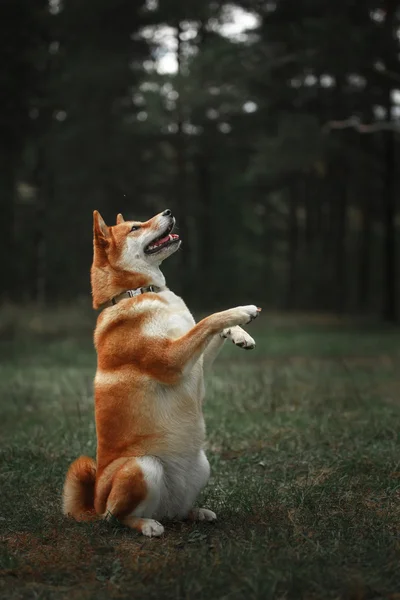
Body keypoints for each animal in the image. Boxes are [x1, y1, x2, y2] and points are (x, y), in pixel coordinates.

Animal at [62, 209, 260, 536]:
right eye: (135, 228)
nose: (168, 212)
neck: (138, 292)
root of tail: (95, 506)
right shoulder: (171, 361)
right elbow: (208, 319)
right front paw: (242, 311)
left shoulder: (195, 367)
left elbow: (208, 329)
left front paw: (239, 334)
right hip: (141, 466)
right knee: (117, 517)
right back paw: (146, 525)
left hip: (202, 466)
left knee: (175, 512)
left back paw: (195, 512)